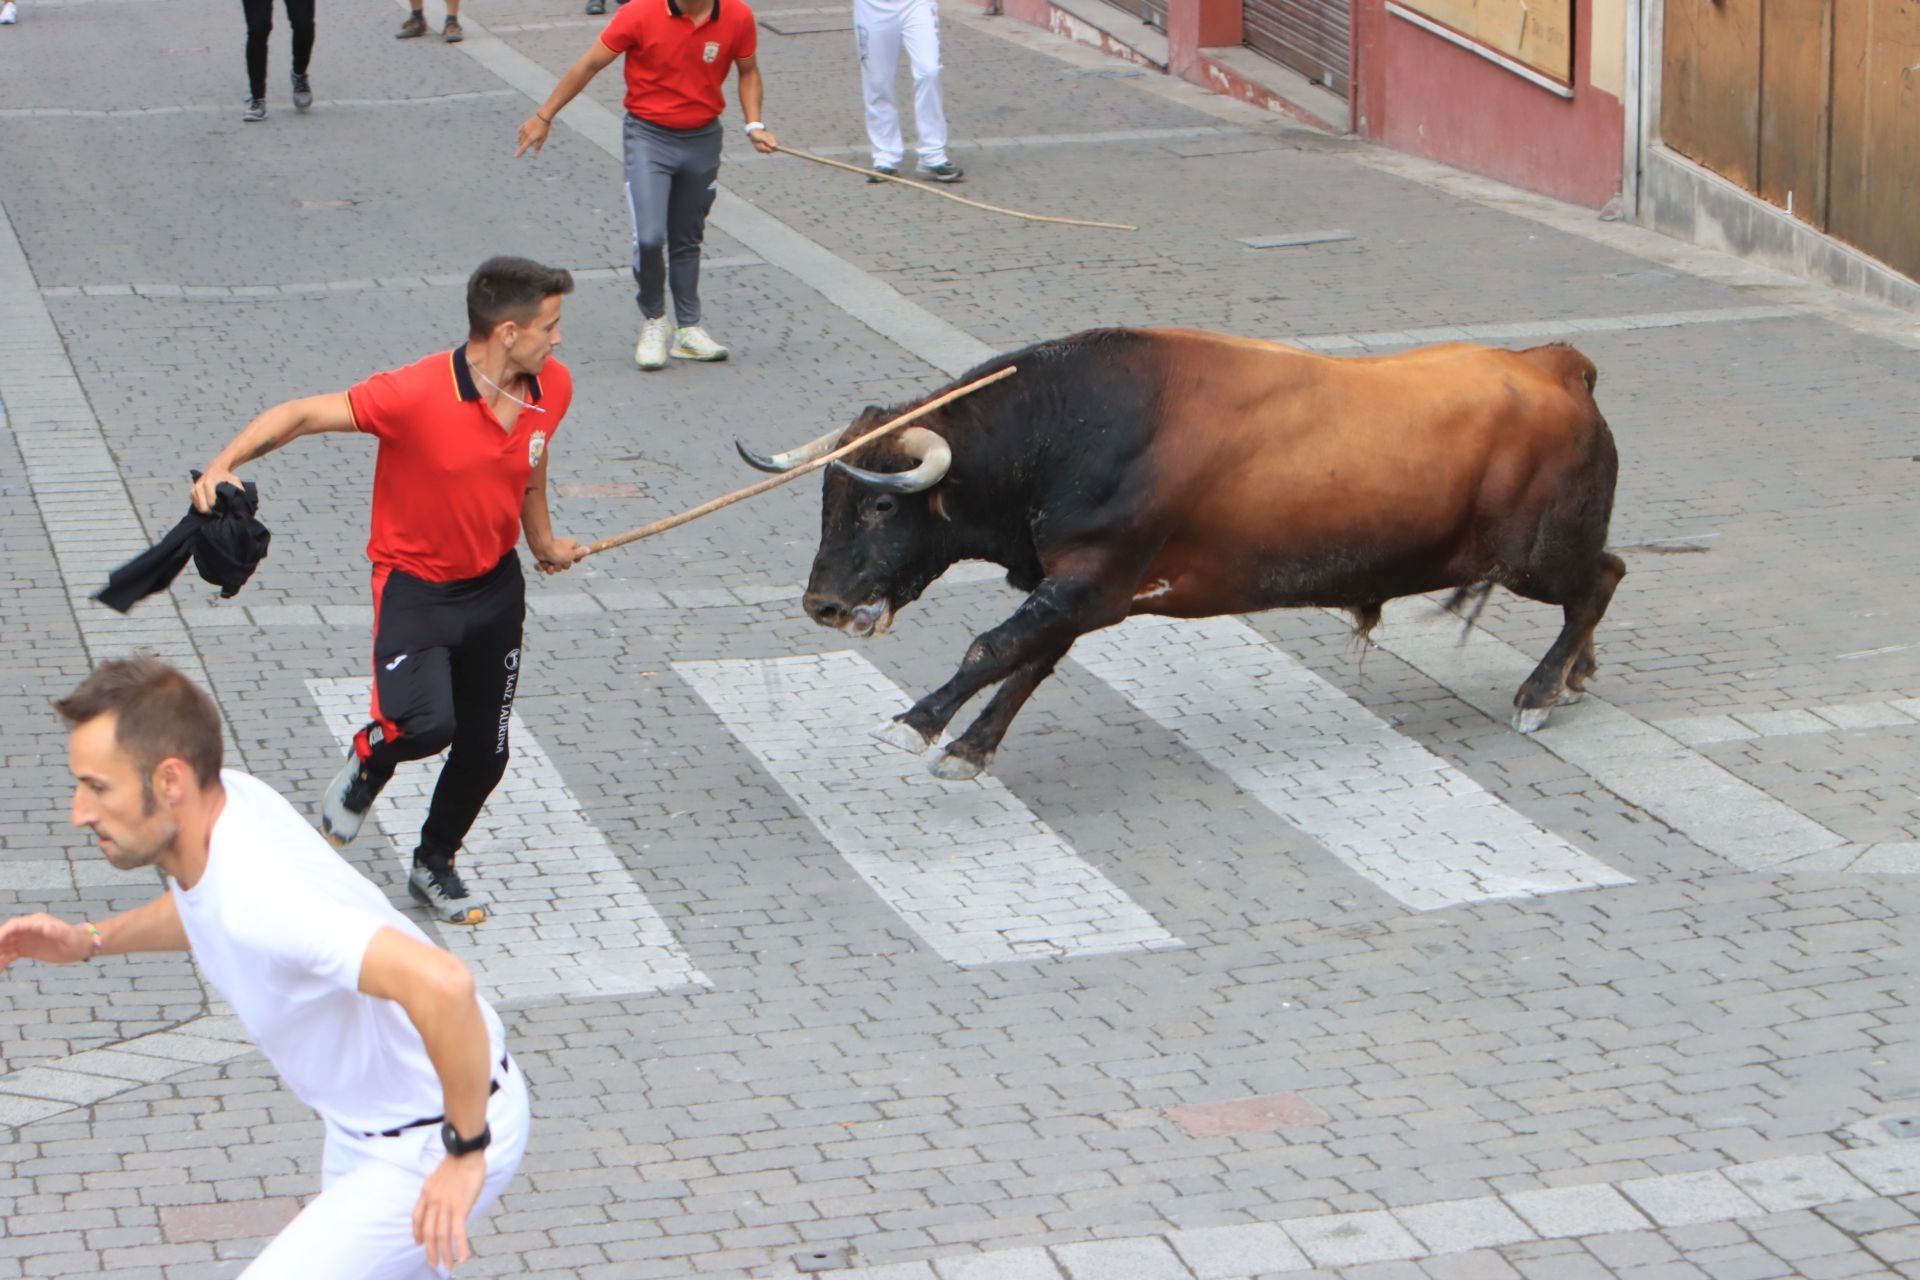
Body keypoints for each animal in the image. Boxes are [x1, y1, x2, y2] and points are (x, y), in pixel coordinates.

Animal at [733, 328, 1620, 782]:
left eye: (882, 503)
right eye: (828, 498)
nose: (822, 604)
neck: (1068, 427)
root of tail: (1558, 366)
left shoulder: (1091, 580)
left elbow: (995, 647)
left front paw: (918, 723)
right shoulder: (1084, 590)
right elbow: (1028, 661)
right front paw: (972, 746)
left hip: (1535, 556)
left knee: (1603, 578)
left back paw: (1541, 688)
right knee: (1595, 587)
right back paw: (1574, 673)